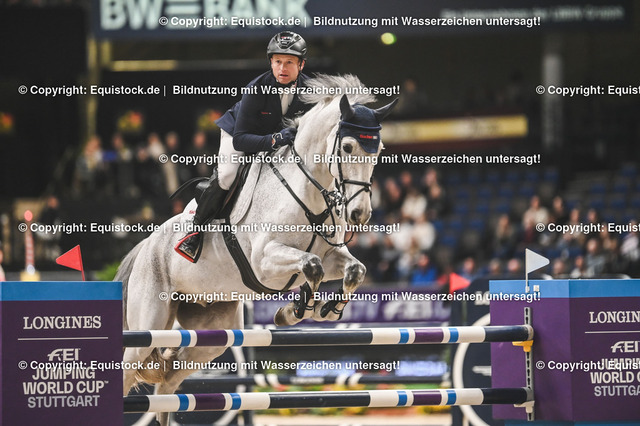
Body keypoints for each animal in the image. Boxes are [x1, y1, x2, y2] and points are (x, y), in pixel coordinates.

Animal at [116, 74, 397, 425]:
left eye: (379, 150)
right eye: (347, 147)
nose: (359, 214)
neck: (308, 191)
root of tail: (144, 246)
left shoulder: (333, 255)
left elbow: (353, 270)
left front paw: (324, 308)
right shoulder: (264, 263)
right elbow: (311, 266)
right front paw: (298, 309)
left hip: (212, 332)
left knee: (168, 383)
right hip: (148, 324)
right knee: (129, 371)